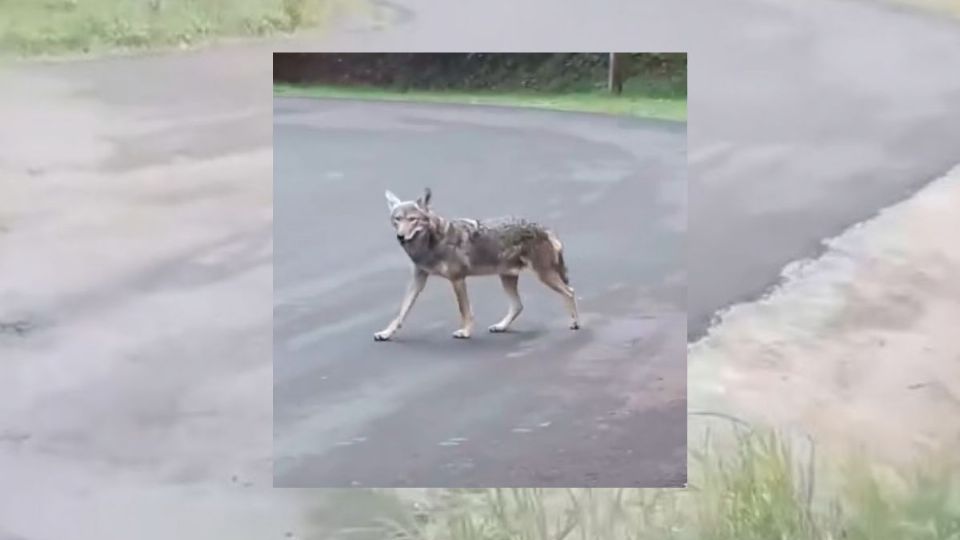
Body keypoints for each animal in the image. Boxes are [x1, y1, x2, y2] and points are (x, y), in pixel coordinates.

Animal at [374, 188, 576, 340]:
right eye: (397, 219)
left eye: (412, 219)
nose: (400, 236)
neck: (430, 245)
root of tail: (545, 228)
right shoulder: (418, 280)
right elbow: (401, 312)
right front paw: (386, 333)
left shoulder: (457, 279)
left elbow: (464, 310)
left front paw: (465, 332)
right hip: (507, 278)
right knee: (518, 306)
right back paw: (500, 326)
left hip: (543, 276)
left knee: (570, 292)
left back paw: (575, 323)